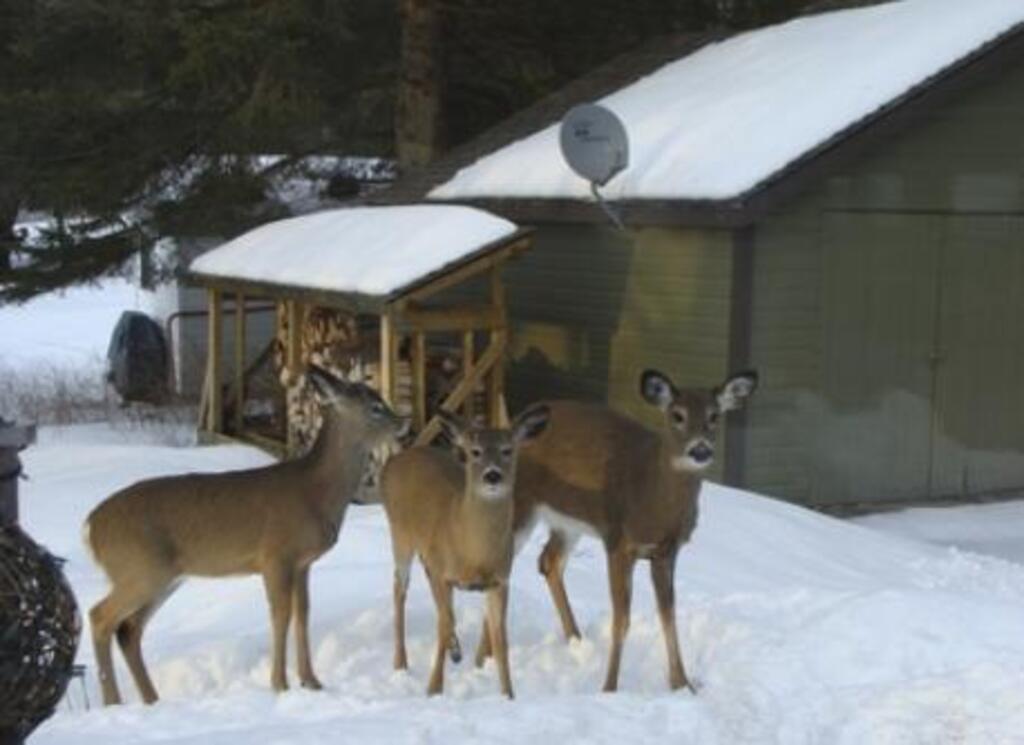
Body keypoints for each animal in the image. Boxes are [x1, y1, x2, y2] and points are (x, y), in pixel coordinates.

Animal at [82, 366, 407, 706]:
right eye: (374, 406)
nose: (404, 422)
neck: (316, 491)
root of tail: (91, 525)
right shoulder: (275, 555)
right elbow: (280, 615)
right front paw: (280, 684)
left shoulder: (303, 563)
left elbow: (303, 613)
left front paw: (312, 681)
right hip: (139, 569)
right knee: (100, 616)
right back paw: (113, 701)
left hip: (163, 576)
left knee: (128, 629)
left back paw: (151, 700)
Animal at [381, 404, 551, 699]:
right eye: (475, 451)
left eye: (508, 450)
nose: (492, 475)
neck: (474, 554)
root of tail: (398, 457)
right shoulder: (443, 572)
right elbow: (444, 624)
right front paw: (433, 688)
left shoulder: (500, 580)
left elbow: (500, 638)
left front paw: (509, 695)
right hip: (400, 535)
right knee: (400, 590)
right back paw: (401, 663)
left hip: (428, 555)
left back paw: (455, 651)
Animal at [473, 368, 758, 693]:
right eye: (677, 415)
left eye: (714, 416)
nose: (700, 449)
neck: (654, 503)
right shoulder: (618, 540)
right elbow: (621, 620)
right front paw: (609, 687)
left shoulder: (666, 551)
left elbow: (668, 615)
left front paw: (682, 684)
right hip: (519, 509)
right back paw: (483, 661)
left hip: (568, 522)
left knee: (549, 561)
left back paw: (575, 640)